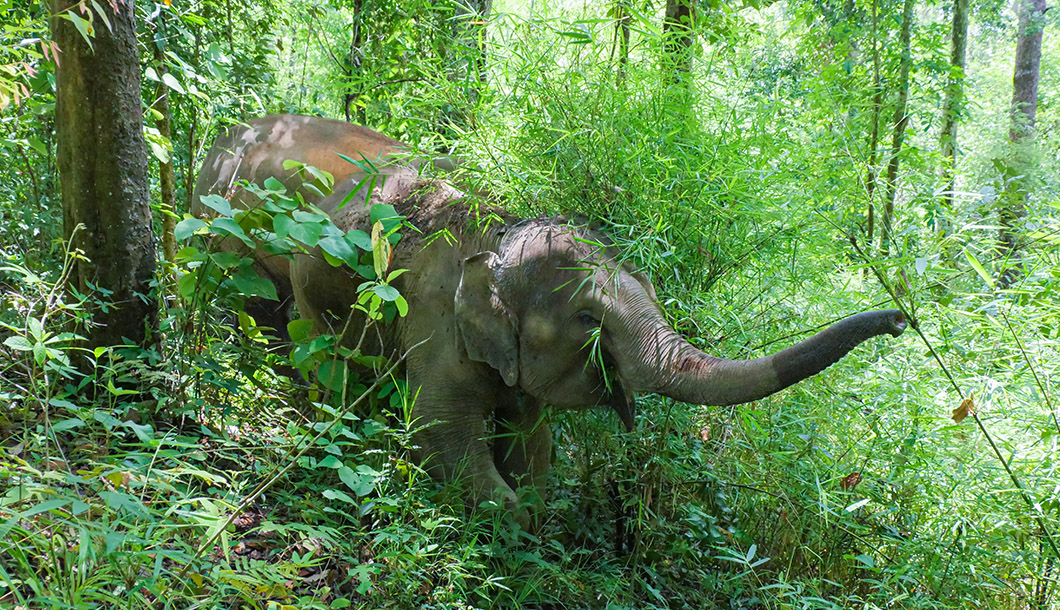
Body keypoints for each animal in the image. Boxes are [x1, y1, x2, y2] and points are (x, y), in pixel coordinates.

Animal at [193, 114, 907, 528]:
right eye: (589, 319)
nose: (902, 320)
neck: (502, 229)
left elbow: (533, 443)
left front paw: (532, 507)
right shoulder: (434, 317)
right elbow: (443, 432)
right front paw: (508, 526)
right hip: (233, 237)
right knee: (302, 342)